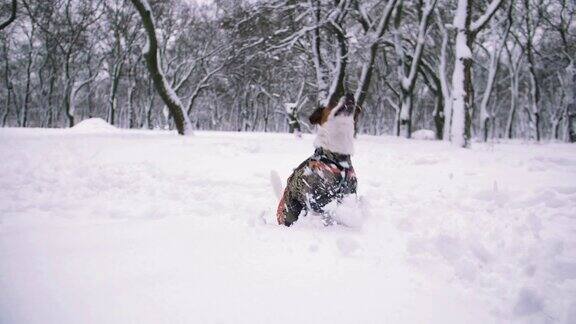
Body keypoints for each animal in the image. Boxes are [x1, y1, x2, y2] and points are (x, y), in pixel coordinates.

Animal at [276, 92, 360, 227]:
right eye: (333, 101)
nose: (350, 94)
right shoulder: (315, 197)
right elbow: (327, 212)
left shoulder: (349, 194)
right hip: (292, 208)